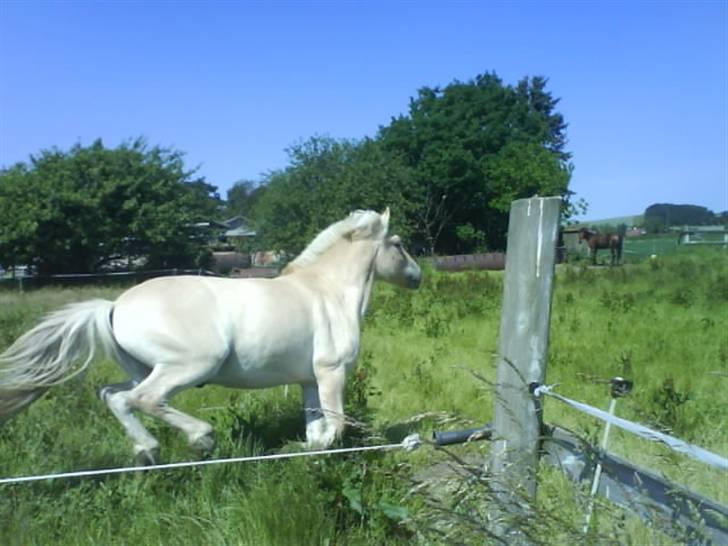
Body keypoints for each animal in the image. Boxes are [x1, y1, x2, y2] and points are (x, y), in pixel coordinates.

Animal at [0, 206, 420, 462]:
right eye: (398, 244)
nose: (417, 276)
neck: (328, 291)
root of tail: (114, 306)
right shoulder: (332, 373)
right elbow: (335, 427)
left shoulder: (309, 381)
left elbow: (316, 431)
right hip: (190, 366)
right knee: (145, 399)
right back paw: (201, 438)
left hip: (143, 369)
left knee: (116, 397)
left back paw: (147, 450)